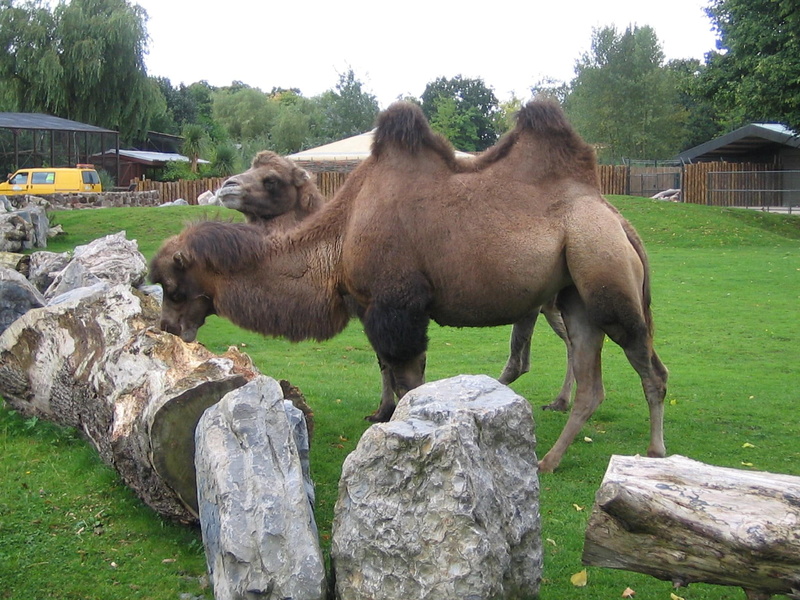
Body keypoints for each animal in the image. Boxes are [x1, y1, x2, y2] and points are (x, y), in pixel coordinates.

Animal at [214, 149, 575, 410]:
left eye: (271, 179)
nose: (227, 186)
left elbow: (398, 359)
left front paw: (394, 409)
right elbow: (384, 360)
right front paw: (384, 409)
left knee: (565, 346)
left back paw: (556, 402)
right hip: (546, 303)